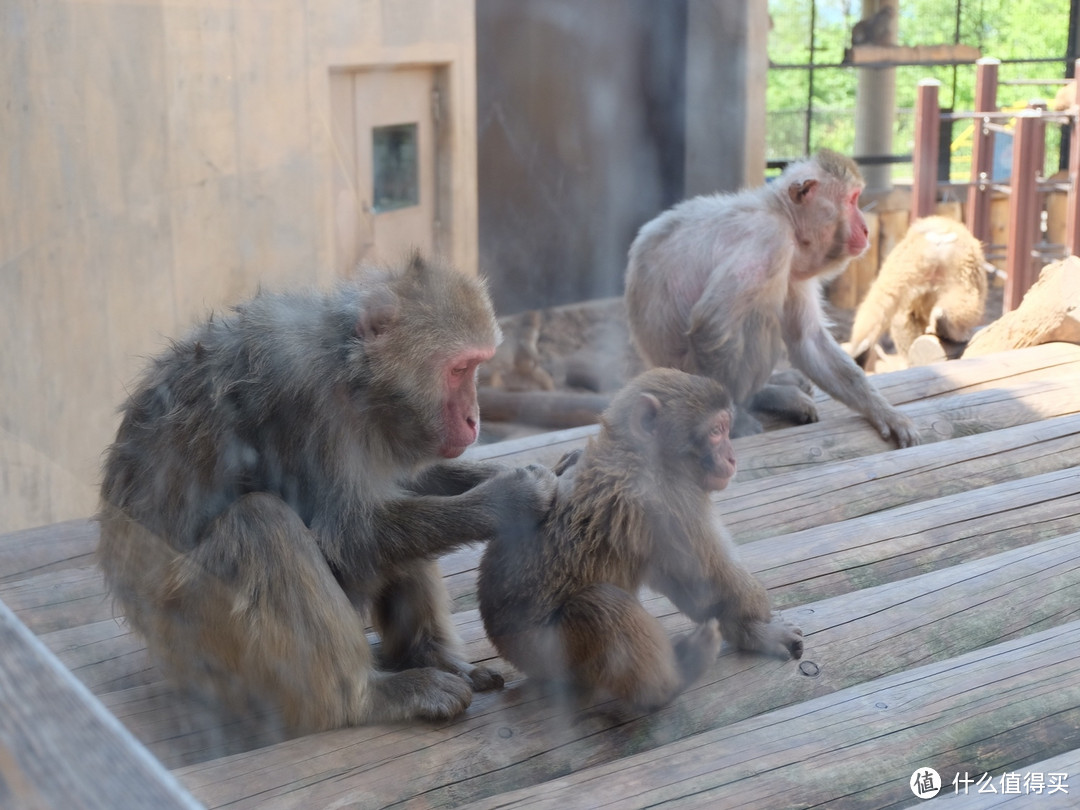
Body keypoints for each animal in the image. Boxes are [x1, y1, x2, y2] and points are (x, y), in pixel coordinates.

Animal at [98, 257, 557, 734]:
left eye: (477, 366)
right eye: (459, 370)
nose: (473, 419)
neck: (351, 369)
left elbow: (390, 494)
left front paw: (513, 472)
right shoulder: (307, 403)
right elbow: (349, 534)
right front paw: (509, 498)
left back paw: (426, 656)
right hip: (199, 648)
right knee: (261, 523)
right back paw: (364, 699)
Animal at [477, 371, 799, 712]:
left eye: (726, 430)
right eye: (715, 432)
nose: (731, 457)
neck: (635, 454)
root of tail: (504, 646)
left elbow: (689, 589)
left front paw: (750, 631)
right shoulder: (671, 500)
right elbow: (708, 585)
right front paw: (756, 628)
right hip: (544, 653)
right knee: (599, 605)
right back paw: (669, 683)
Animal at [626, 151, 920, 451]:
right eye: (851, 200)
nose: (865, 229)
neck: (784, 216)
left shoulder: (795, 266)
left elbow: (808, 341)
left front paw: (883, 411)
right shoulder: (769, 239)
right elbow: (712, 326)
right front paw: (737, 420)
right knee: (757, 318)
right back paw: (762, 397)